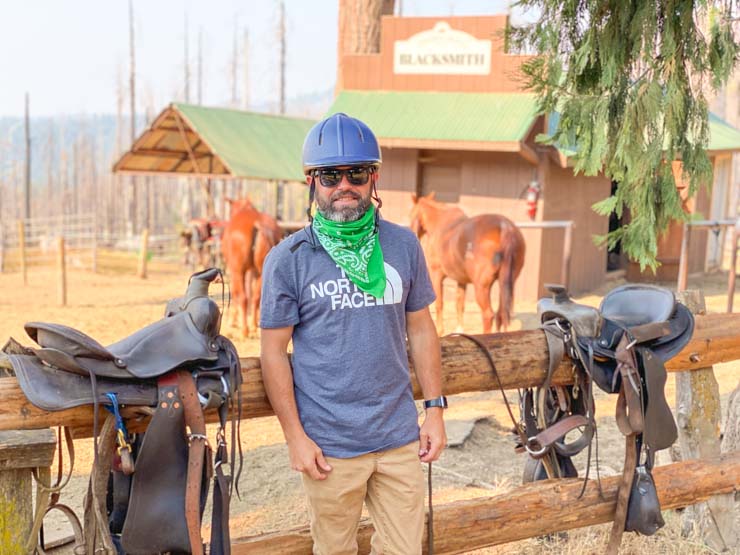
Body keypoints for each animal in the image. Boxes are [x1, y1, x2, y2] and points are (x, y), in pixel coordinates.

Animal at [220, 200, 284, 338]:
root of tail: (258, 223)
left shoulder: (234, 271)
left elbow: (235, 292)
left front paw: (232, 321)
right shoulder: (253, 271)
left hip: (238, 271)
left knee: (243, 297)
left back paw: (245, 330)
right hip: (261, 272)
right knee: (256, 297)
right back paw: (255, 327)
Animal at [410, 193, 528, 336]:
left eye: (411, 214)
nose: (412, 231)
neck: (440, 224)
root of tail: (504, 226)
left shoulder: (436, 274)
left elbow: (439, 303)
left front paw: (439, 331)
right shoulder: (461, 280)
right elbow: (459, 304)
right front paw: (459, 331)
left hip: (481, 287)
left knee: (488, 314)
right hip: (504, 283)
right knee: (501, 315)